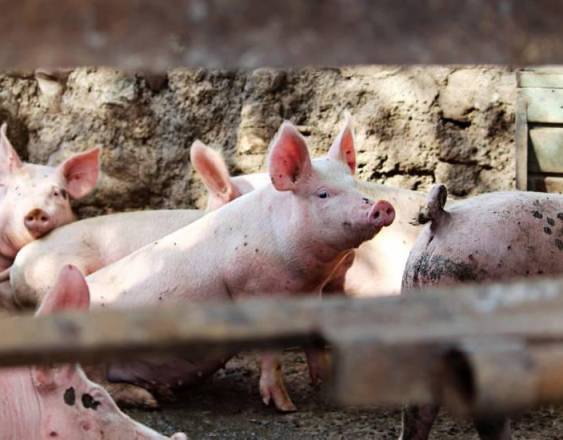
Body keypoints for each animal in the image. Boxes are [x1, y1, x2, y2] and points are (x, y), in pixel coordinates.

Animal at [81, 119, 394, 412]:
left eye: (355, 186)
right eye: (323, 194)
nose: (382, 205)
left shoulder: (311, 296)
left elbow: (315, 340)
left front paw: (326, 388)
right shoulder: (257, 293)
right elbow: (271, 354)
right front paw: (286, 407)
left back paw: (162, 392)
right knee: (98, 383)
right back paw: (150, 400)